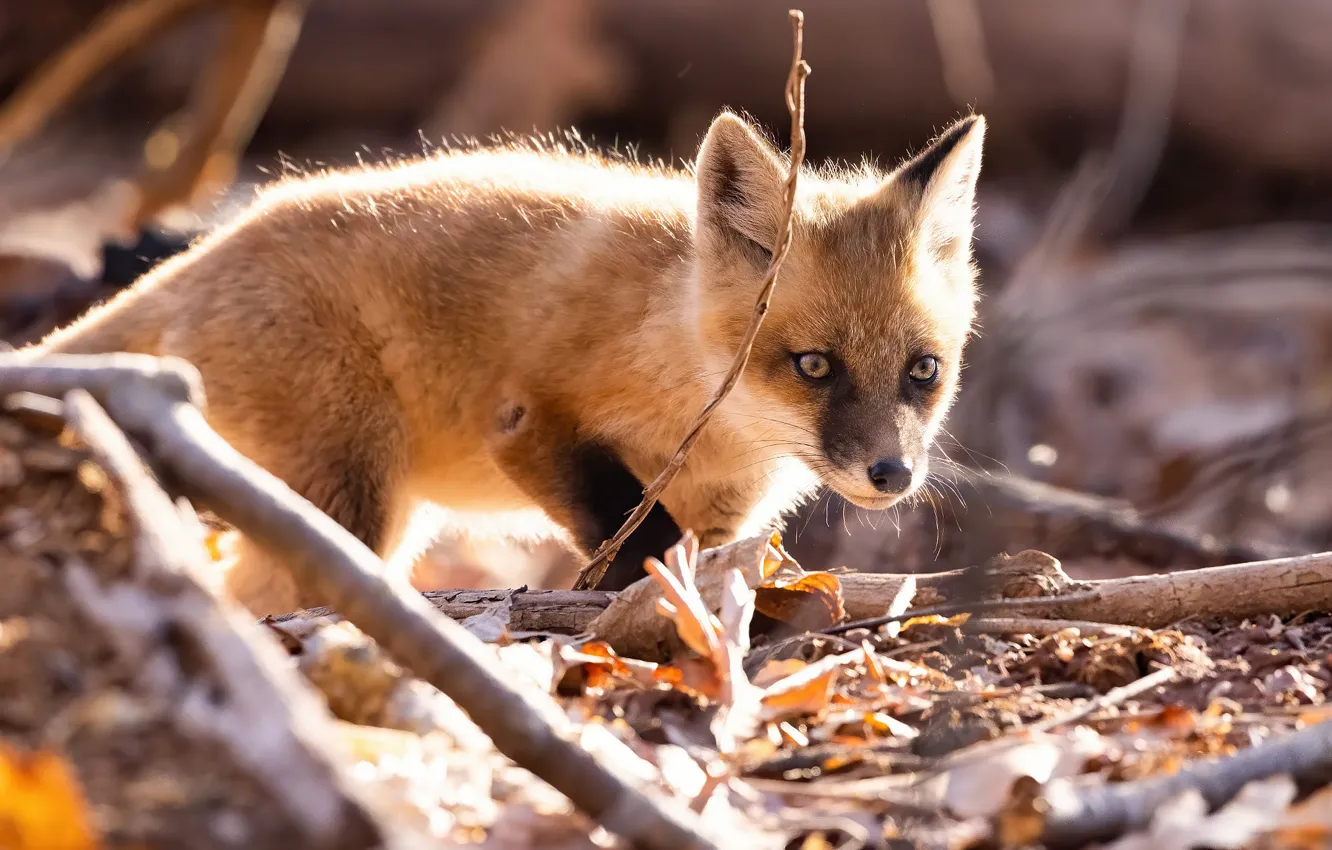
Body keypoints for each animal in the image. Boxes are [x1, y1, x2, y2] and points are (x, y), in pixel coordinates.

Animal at [18, 110, 985, 616]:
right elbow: (635, 547)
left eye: (922, 371)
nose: (892, 475)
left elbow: (696, 553)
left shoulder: (722, 505)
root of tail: (207, 248)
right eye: (814, 366)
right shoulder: (530, 425)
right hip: (359, 504)